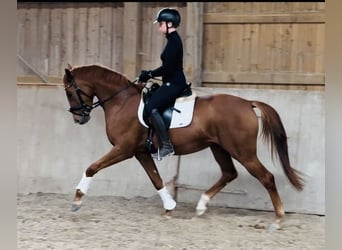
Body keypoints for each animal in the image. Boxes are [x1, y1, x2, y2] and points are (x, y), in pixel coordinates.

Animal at [62, 64, 304, 229]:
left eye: (69, 92)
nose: (79, 119)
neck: (122, 102)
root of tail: (247, 103)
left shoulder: (124, 149)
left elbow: (92, 167)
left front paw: (77, 200)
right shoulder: (140, 152)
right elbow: (156, 179)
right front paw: (169, 207)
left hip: (242, 151)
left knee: (266, 177)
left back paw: (278, 219)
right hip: (219, 147)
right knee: (229, 173)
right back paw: (201, 206)